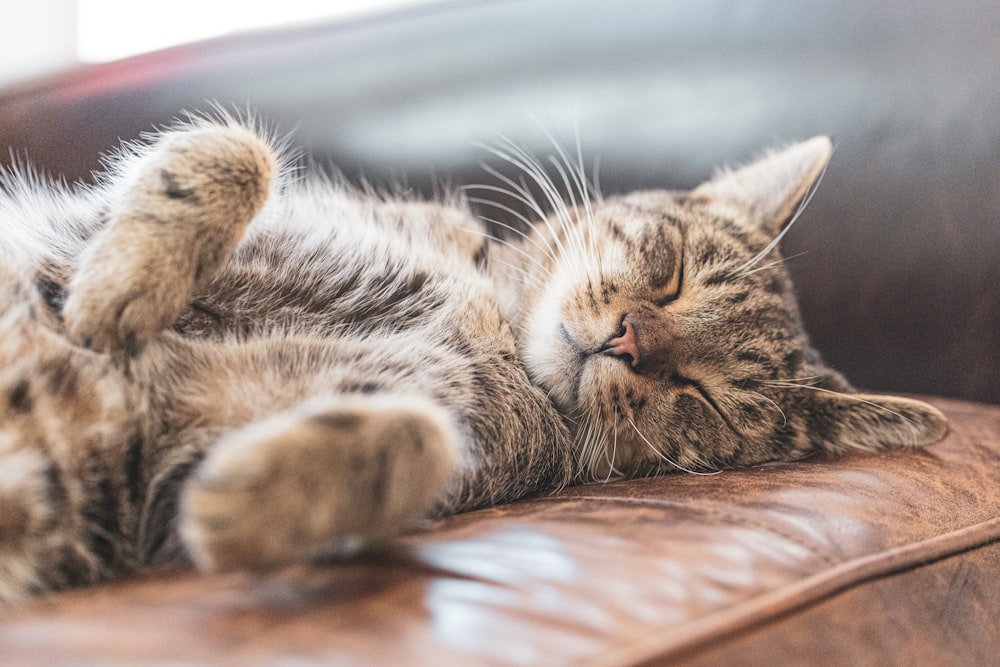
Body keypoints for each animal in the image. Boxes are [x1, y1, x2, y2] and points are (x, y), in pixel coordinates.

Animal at [0, 112, 944, 604]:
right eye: (670, 272)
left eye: (702, 395)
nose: (631, 340)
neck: (490, 313)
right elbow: (233, 150)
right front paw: (127, 279)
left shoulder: (158, 475)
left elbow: (417, 436)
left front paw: (252, 497)